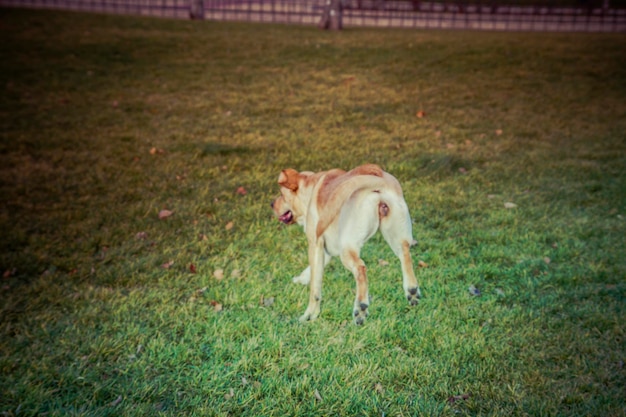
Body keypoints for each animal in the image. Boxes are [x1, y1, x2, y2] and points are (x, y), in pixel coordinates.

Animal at [270, 164, 420, 324]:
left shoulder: (315, 244)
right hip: (397, 236)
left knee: (360, 268)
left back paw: (361, 307)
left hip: (347, 247)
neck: (311, 188)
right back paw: (412, 290)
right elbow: (311, 271)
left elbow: (315, 289)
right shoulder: (325, 250)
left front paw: (310, 315)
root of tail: (376, 179)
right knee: (405, 254)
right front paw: (301, 279)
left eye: (281, 194)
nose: (271, 204)